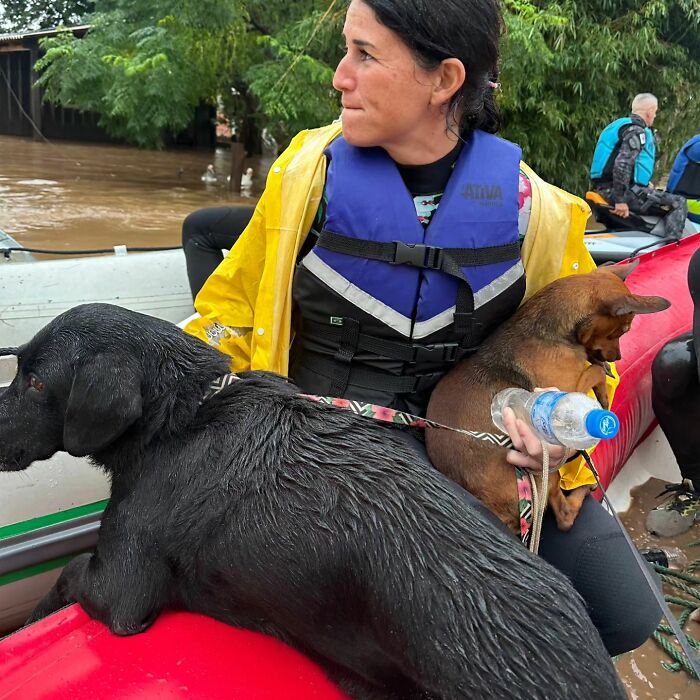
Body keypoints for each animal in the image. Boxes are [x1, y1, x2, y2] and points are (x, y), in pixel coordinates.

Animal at [424, 264, 668, 536]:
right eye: (623, 330)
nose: (617, 357)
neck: (553, 333)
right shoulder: (565, 393)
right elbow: (592, 370)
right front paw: (602, 386)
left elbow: (593, 366)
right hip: (543, 473)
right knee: (564, 517)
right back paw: (582, 490)